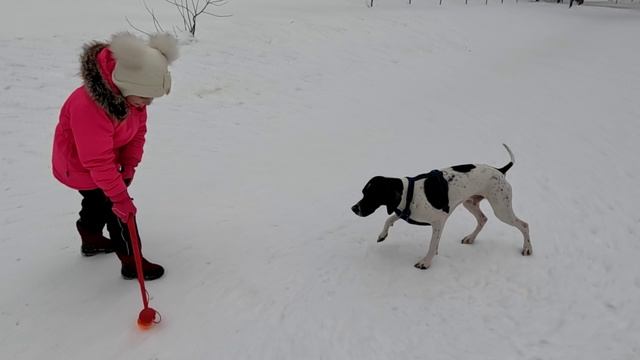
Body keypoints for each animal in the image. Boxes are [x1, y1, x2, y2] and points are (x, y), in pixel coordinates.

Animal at [350, 145, 528, 268]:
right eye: (363, 192)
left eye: (371, 195)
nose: (354, 208)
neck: (409, 193)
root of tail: (500, 170)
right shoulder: (404, 212)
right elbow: (389, 219)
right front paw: (382, 235)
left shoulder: (438, 222)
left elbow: (432, 244)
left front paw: (426, 261)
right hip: (470, 202)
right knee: (483, 219)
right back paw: (470, 238)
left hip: (501, 209)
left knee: (524, 225)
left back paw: (527, 249)